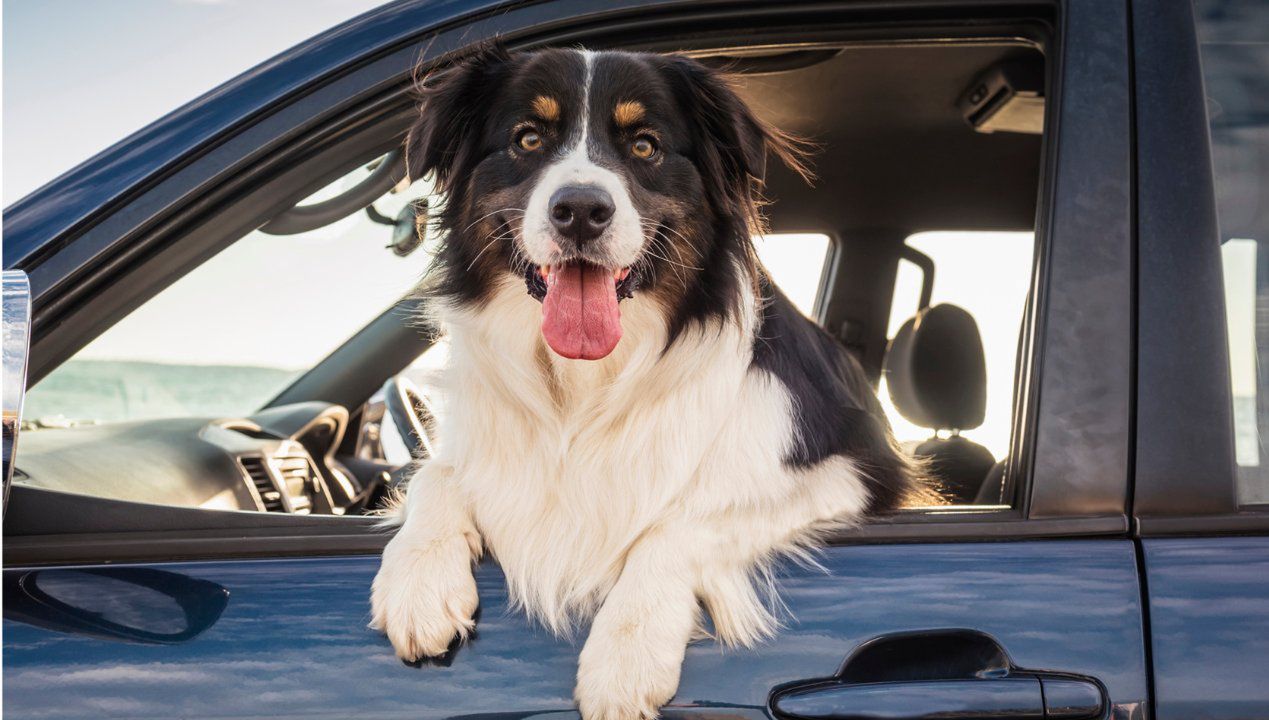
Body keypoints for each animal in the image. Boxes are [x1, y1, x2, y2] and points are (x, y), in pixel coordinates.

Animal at [370, 46, 918, 720]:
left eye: (645, 145)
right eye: (528, 139)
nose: (581, 211)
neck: (585, 384)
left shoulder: (849, 474)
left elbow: (678, 523)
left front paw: (624, 655)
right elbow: (437, 475)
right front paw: (417, 583)